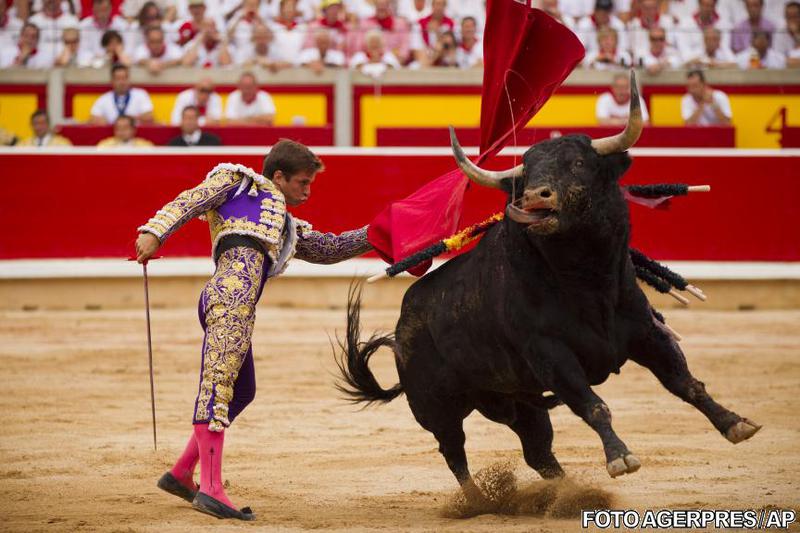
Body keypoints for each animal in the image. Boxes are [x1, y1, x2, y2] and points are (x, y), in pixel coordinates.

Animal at [334, 72, 760, 504]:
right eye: (527, 174)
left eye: (578, 163)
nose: (534, 196)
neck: (587, 280)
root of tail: (402, 324)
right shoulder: (551, 355)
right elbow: (594, 405)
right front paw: (621, 458)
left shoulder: (646, 333)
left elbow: (685, 382)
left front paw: (735, 423)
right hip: (437, 407)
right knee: (454, 450)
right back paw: (477, 502)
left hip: (519, 402)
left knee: (538, 450)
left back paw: (564, 493)